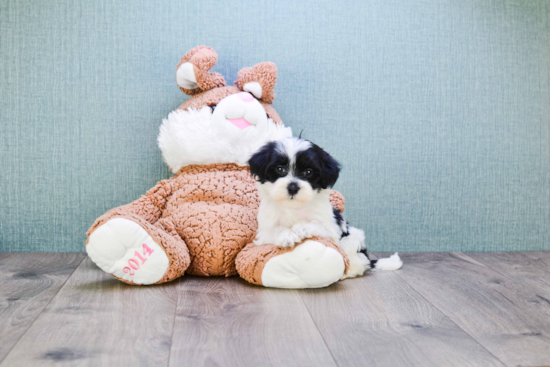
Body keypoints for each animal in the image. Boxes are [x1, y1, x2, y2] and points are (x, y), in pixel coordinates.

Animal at [248, 137, 404, 278]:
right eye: (280, 169)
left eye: (308, 172)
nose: (292, 187)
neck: (295, 207)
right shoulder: (263, 232)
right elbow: (274, 231)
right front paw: (287, 235)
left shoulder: (331, 230)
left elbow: (319, 226)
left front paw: (302, 227)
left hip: (352, 239)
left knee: (357, 262)